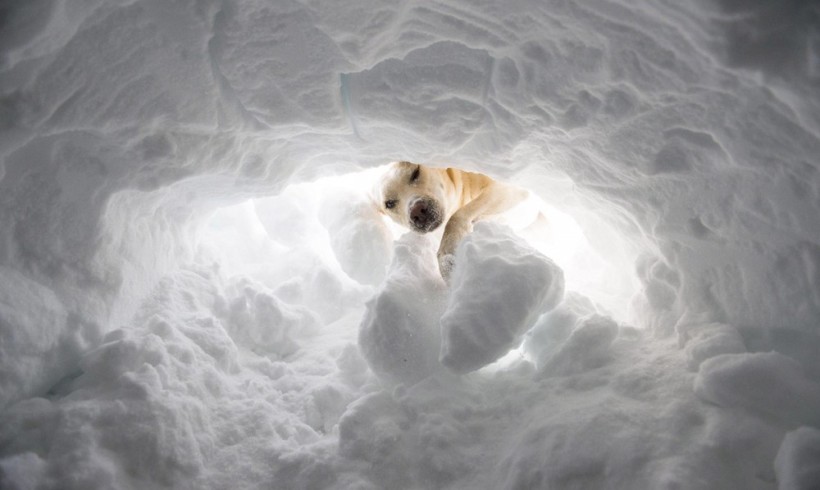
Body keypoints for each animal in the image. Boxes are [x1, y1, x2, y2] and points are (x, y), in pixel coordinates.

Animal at [376, 160, 528, 278]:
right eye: (389, 203)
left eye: (415, 172)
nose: (416, 210)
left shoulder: (510, 189)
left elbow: (456, 217)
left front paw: (448, 259)